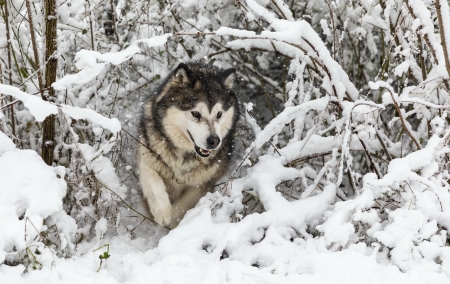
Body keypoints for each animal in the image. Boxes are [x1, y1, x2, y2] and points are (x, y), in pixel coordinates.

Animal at [139, 62, 241, 229]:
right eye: (196, 114)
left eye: (219, 114)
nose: (214, 141)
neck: (184, 157)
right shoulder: (147, 157)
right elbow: (153, 182)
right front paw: (162, 213)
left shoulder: (202, 184)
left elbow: (181, 209)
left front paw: (175, 227)